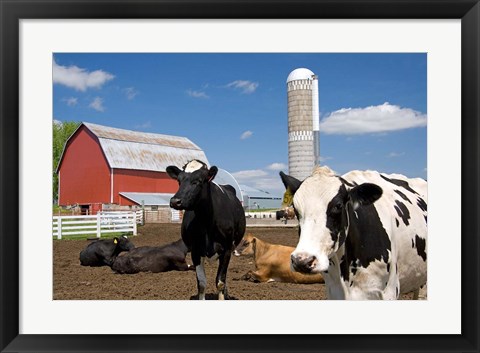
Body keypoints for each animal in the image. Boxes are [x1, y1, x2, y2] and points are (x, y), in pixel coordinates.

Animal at [167, 160, 246, 300]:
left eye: (198, 181)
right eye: (179, 181)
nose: (175, 201)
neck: (207, 222)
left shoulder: (226, 250)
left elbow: (220, 281)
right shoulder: (195, 251)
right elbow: (202, 283)